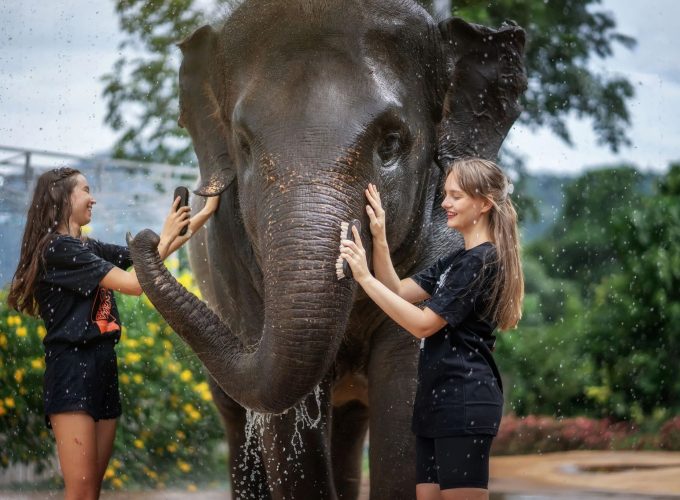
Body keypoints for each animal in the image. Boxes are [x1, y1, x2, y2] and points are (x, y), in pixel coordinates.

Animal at [128, 0, 526, 498]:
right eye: (244, 146)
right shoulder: (230, 263)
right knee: (238, 419)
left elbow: (408, 392)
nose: (152, 231)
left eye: (391, 143)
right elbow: (288, 429)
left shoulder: (446, 235)